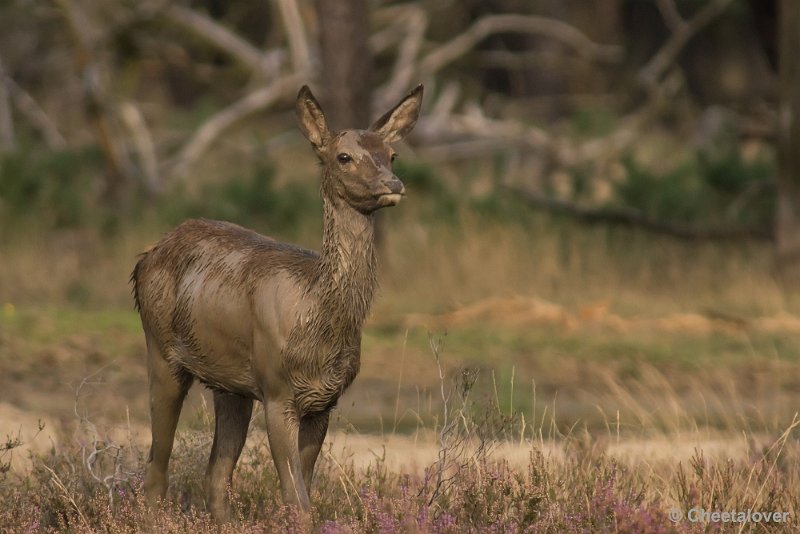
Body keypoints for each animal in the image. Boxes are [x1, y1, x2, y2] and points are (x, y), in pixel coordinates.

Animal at [130, 85, 424, 524]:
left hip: (230, 384)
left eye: (392, 154)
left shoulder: (324, 401)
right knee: (156, 468)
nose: (394, 183)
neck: (317, 314)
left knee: (215, 474)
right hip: (162, 348)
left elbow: (301, 492)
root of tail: (145, 258)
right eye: (343, 156)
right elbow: (297, 500)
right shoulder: (277, 388)